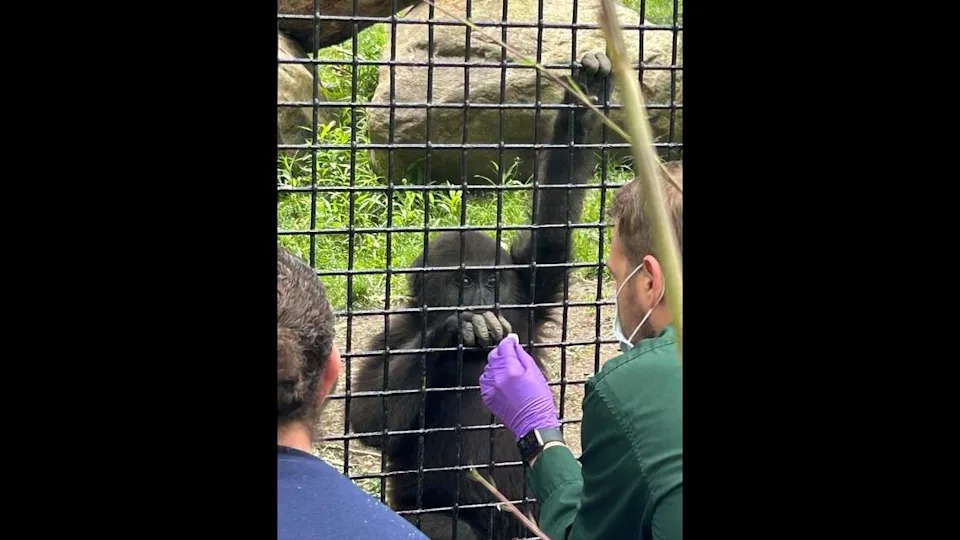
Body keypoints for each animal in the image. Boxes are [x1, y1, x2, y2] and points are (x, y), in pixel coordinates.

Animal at [348, 52, 613, 540]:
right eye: (464, 281)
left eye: (491, 281)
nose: (479, 300)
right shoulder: (392, 334)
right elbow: (370, 419)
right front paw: (454, 330)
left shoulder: (527, 292)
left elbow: (551, 234)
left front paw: (586, 93)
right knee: (439, 525)